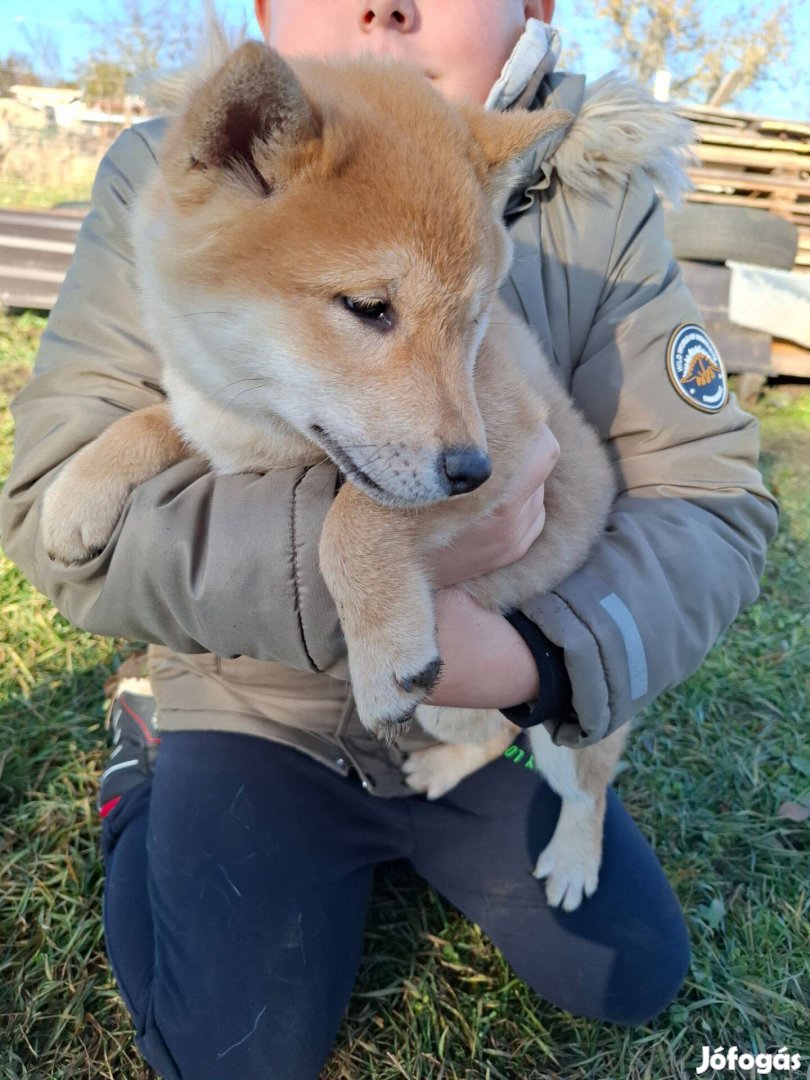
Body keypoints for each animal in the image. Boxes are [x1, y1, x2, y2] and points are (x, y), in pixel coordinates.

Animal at [42, 39, 626, 911]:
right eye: (368, 307)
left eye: (474, 321)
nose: (468, 470)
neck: (266, 427)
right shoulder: (218, 422)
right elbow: (151, 418)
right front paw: (78, 493)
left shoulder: (520, 448)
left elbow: (357, 516)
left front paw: (381, 646)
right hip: (459, 705)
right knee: (492, 734)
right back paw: (441, 770)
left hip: (562, 716)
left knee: (586, 782)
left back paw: (575, 860)